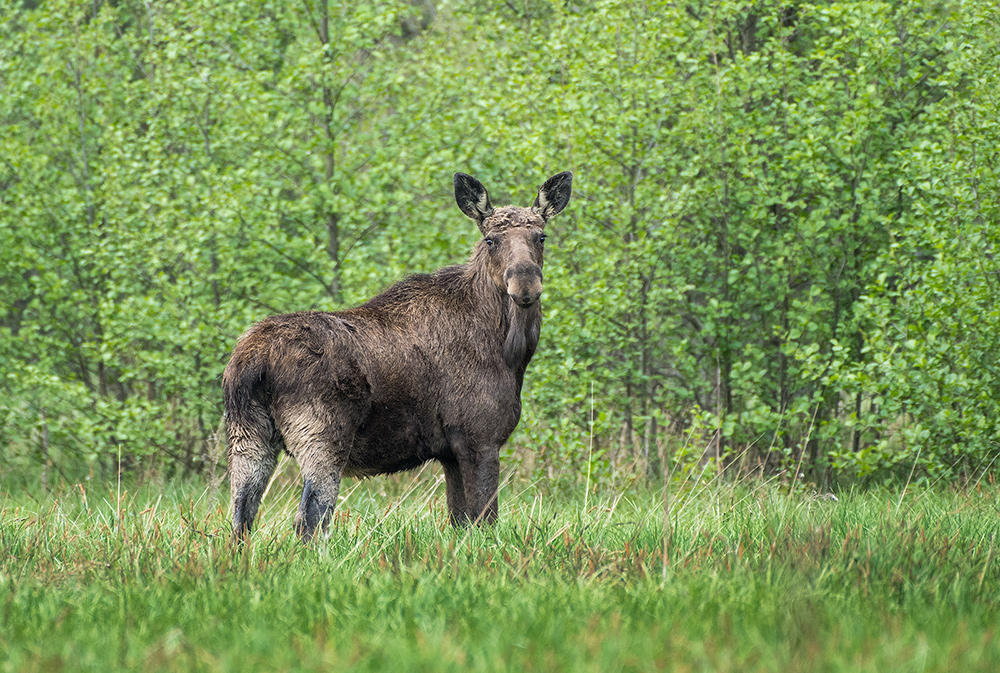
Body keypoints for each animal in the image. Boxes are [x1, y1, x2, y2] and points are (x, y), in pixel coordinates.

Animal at [224, 169, 576, 540]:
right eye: (491, 240)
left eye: (541, 236)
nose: (525, 284)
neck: (511, 352)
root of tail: (251, 364)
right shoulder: (480, 437)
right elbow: (485, 520)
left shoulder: (451, 452)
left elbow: (460, 521)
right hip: (322, 436)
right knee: (310, 520)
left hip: (248, 437)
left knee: (240, 518)